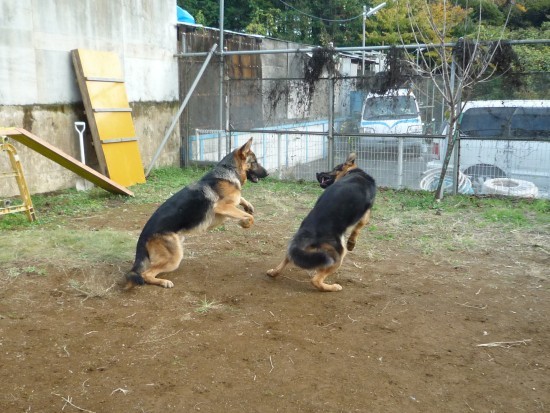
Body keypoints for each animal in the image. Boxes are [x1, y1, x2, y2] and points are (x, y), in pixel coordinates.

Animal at [127, 137, 270, 288]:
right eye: (254, 162)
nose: (268, 173)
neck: (229, 170)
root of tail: (143, 236)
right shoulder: (221, 207)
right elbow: (249, 216)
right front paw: (245, 223)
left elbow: (240, 199)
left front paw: (248, 206)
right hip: (174, 257)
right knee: (146, 274)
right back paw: (163, 282)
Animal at [266, 153, 376, 292]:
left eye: (334, 169)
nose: (318, 173)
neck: (353, 172)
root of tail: (308, 232)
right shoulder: (366, 213)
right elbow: (359, 227)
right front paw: (351, 243)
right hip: (338, 255)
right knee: (316, 280)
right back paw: (333, 287)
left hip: (298, 248)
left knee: (288, 257)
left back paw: (273, 272)